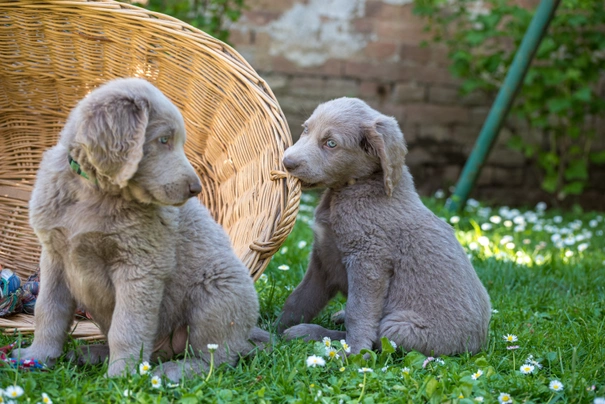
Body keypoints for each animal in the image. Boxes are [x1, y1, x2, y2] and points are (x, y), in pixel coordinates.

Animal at [278, 96, 490, 356]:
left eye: (331, 143)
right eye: (306, 130)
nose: (287, 162)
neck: (351, 189)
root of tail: (479, 342)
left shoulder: (368, 261)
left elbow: (359, 313)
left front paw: (352, 354)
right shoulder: (322, 259)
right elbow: (299, 299)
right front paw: (272, 329)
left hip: (398, 327)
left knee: (376, 339)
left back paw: (312, 333)